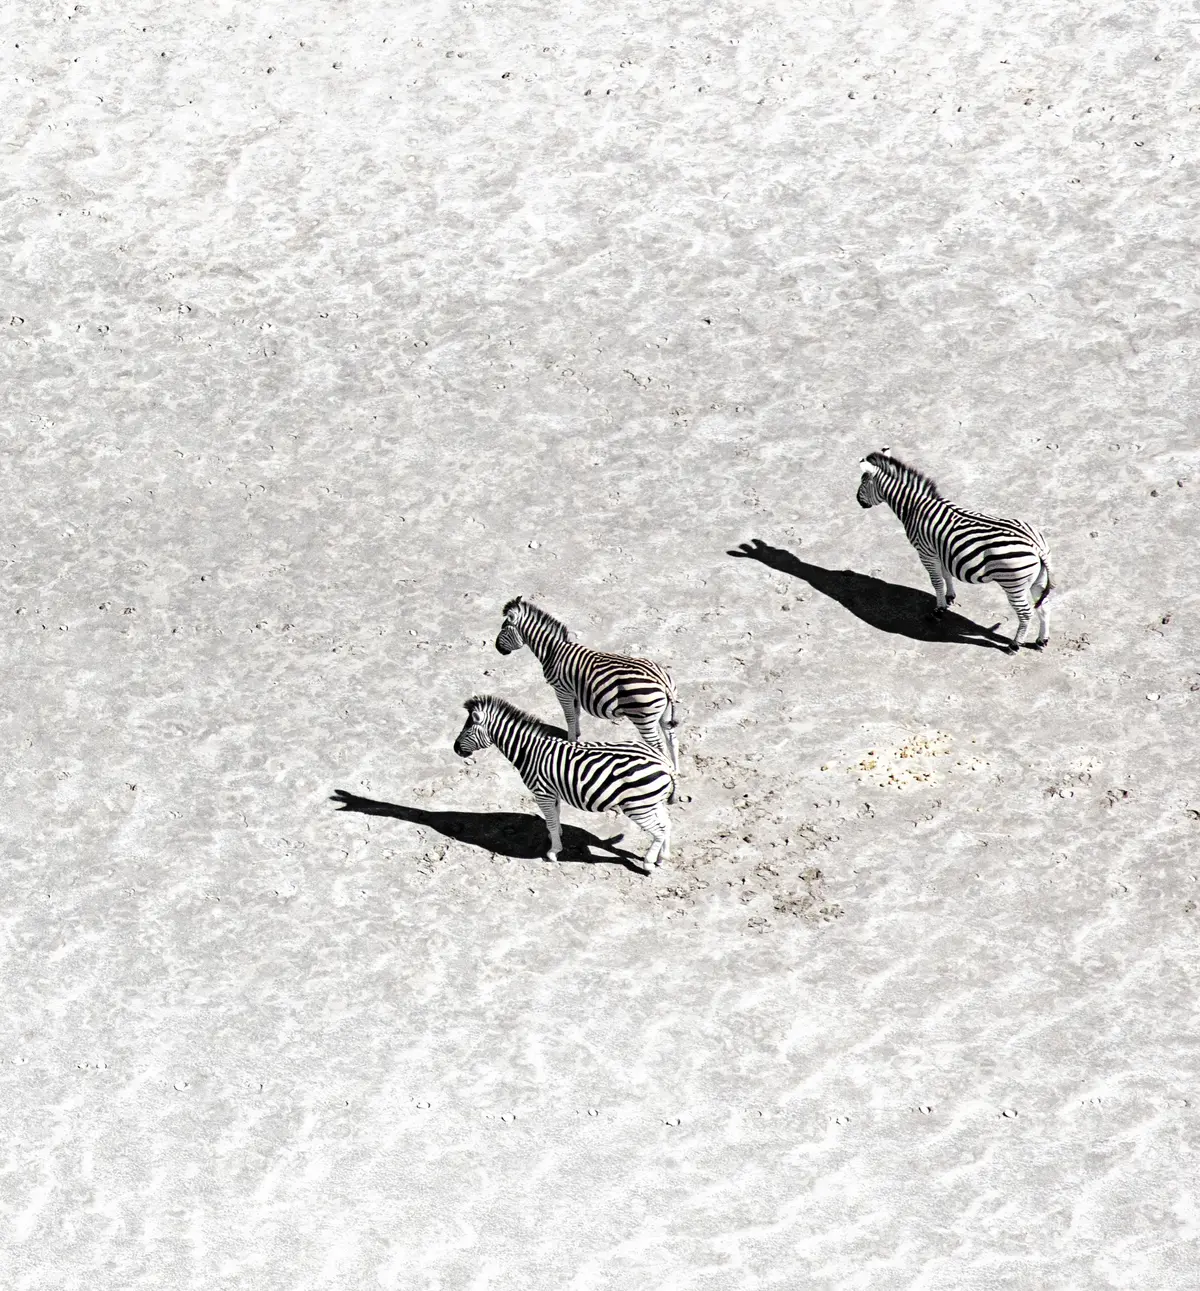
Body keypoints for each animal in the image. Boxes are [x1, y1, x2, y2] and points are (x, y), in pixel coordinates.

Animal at [452, 695, 675, 872]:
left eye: (467, 729)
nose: (455, 749)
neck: (530, 751)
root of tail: (664, 762)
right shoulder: (553, 791)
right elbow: (555, 817)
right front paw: (556, 836)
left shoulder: (542, 792)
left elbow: (550, 820)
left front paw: (553, 852)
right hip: (652, 801)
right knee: (666, 823)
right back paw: (662, 857)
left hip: (637, 806)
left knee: (659, 830)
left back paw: (648, 863)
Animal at [494, 596, 680, 774]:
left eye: (504, 629)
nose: (497, 648)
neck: (553, 651)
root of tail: (662, 680)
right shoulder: (574, 691)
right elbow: (575, 713)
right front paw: (576, 735)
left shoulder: (562, 691)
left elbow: (569, 716)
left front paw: (570, 741)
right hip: (663, 715)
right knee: (672, 739)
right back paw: (676, 769)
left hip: (643, 717)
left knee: (659, 745)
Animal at [856, 448, 1054, 652]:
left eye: (862, 482)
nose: (858, 501)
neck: (914, 507)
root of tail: (1035, 546)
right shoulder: (941, 550)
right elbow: (946, 576)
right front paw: (949, 597)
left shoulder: (925, 552)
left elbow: (936, 582)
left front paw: (938, 610)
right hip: (1038, 580)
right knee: (1045, 606)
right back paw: (1042, 640)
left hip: (1013, 583)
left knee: (1026, 613)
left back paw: (1014, 645)